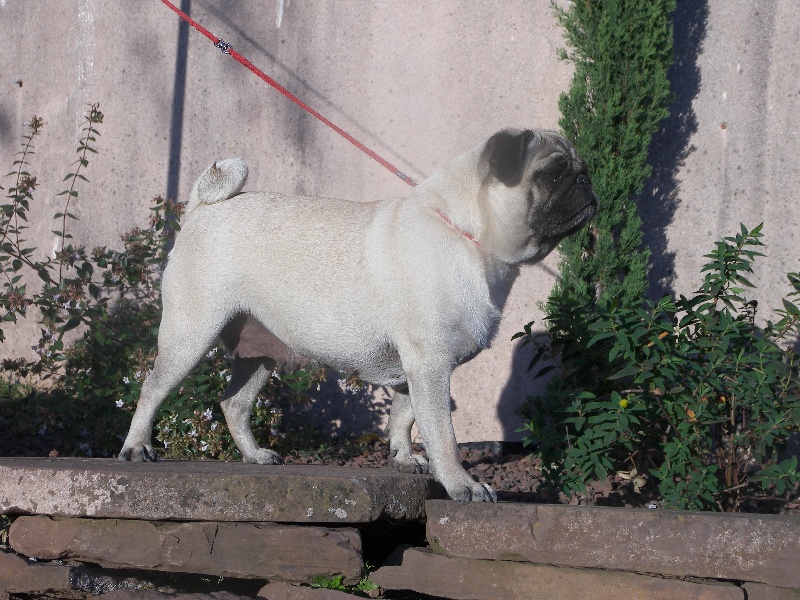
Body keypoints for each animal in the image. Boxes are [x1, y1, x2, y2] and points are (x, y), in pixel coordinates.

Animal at [117, 130, 592, 502]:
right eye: (552, 174)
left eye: (578, 169)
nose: (586, 181)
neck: (469, 235)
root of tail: (203, 207)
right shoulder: (430, 363)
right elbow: (442, 433)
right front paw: (462, 485)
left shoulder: (414, 368)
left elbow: (404, 417)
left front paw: (403, 459)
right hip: (190, 335)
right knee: (153, 389)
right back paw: (136, 448)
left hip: (261, 352)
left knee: (233, 403)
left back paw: (254, 455)